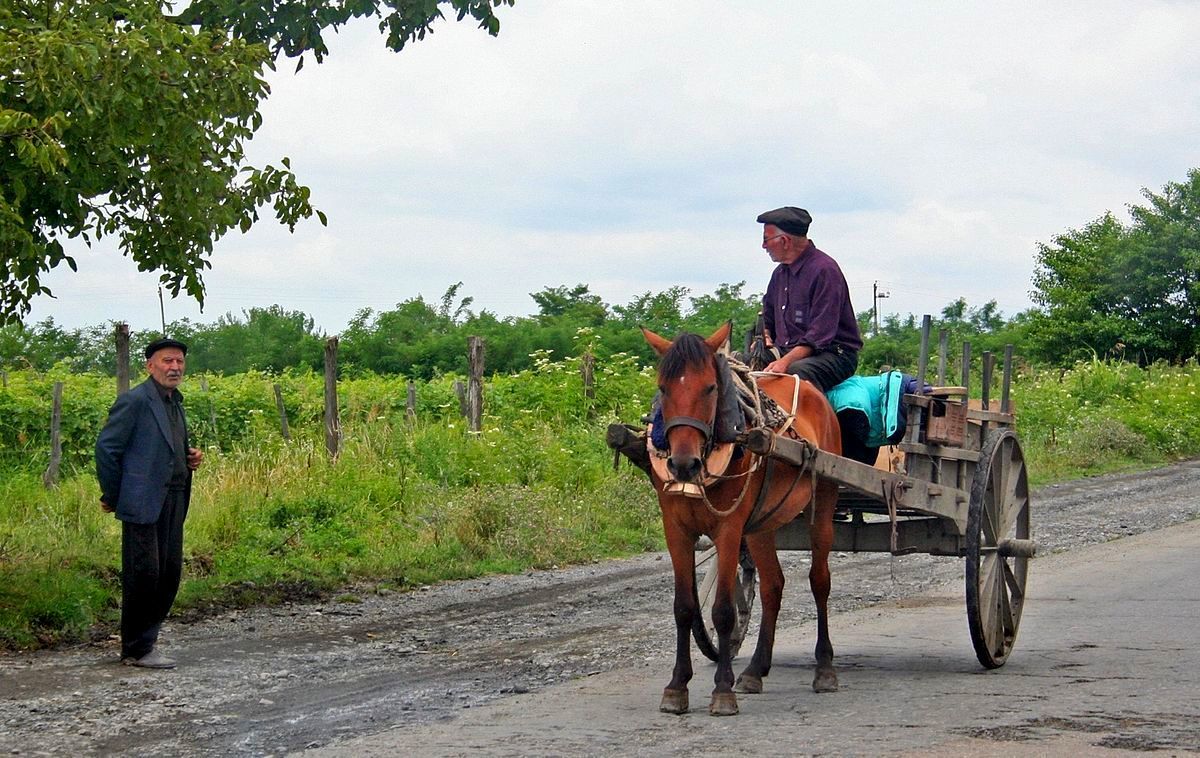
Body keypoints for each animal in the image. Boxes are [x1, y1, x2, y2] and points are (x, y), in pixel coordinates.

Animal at [643, 321, 840, 714]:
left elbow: (722, 610)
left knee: (819, 581)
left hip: (823, 503)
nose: (684, 464)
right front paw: (677, 687)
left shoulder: (729, 528)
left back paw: (824, 668)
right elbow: (684, 607)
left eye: (710, 388)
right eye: (663, 388)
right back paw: (755, 669)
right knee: (772, 585)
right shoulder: (676, 528)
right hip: (763, 522)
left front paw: (722, 689)